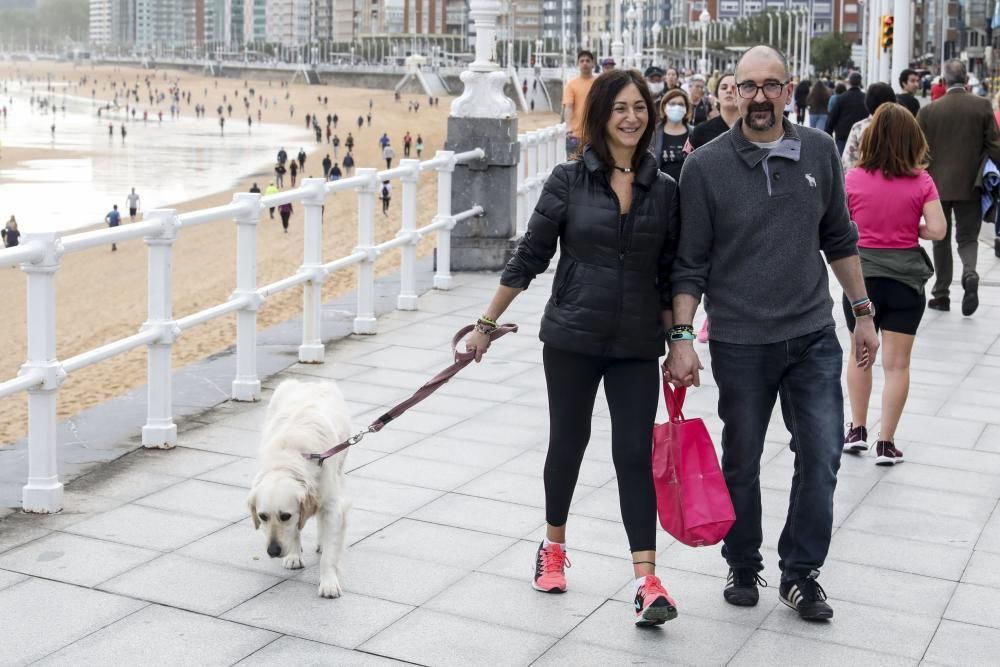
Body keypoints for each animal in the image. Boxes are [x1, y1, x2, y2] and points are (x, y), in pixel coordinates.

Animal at [248, 380, 354, 600]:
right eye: (262, 516)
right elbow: (295, 529)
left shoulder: (332, 505)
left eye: (285, 516)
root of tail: (309, 383)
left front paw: (329, 583)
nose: (273, 551)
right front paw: (294, 555)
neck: (290, 457)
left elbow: (329, 552)